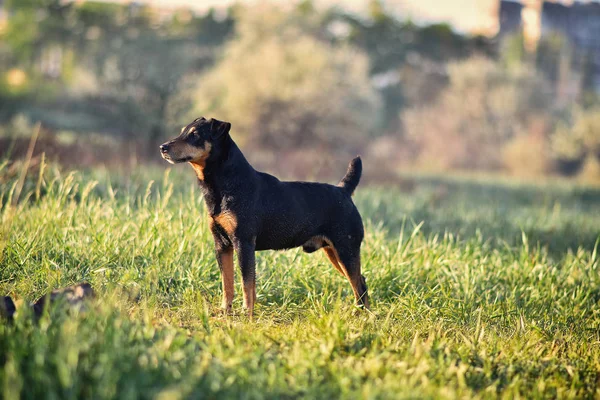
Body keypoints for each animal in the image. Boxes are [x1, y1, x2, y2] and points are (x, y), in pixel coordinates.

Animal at [159, 117, 368, 318]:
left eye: (194, 135)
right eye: (183, 131)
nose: (163, 147)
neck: (227, 183)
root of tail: (343, 191)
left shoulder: (243, 242)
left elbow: (246, 283)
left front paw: (246, 313)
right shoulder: (222, 245)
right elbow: (227, 283)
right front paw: (225, 310)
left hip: (345, 249)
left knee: (358, 283)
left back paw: (359, 314)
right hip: (333, 252)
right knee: (361, 280)